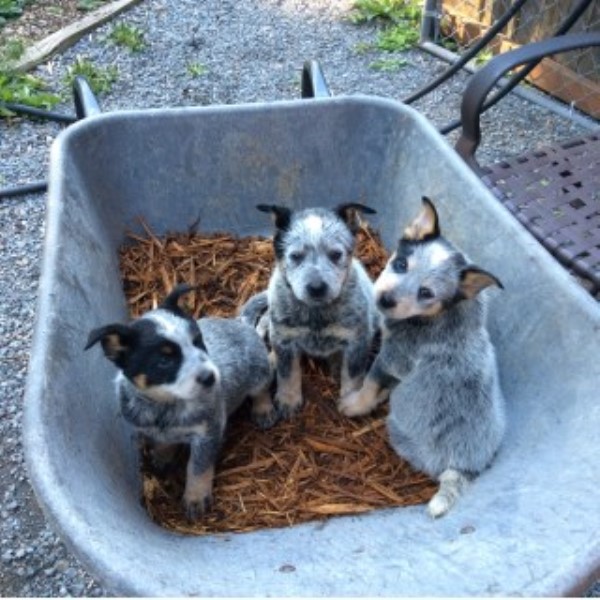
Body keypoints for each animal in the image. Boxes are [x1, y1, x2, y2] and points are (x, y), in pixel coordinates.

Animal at [85, 284, 276, 516]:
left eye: (198, 341)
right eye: (164, 360)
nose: (211, 377)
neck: (165, 406)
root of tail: (242, 323)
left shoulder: (208, 433)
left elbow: (197, 467)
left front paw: (195, 499)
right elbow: (162, 444)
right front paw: (162, 458)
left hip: (259, 371)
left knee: (261, 389)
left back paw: (263, 411)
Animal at [253, 204, 380, 420]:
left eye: (336, 254)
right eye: (296, 256)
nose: (317, 287)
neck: (316, 313)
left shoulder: (357, 339)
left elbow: (353, 375)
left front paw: (352, 401)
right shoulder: (284, 338)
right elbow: (288, 372)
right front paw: (288, 400)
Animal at [340, 197, 504, 516]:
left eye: (426, 293)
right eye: (401, 264)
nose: (384, 300)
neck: (434, 317)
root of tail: (463, 466)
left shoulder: (392, 357)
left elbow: (370, 383)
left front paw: (355, 404)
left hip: (397, 429)